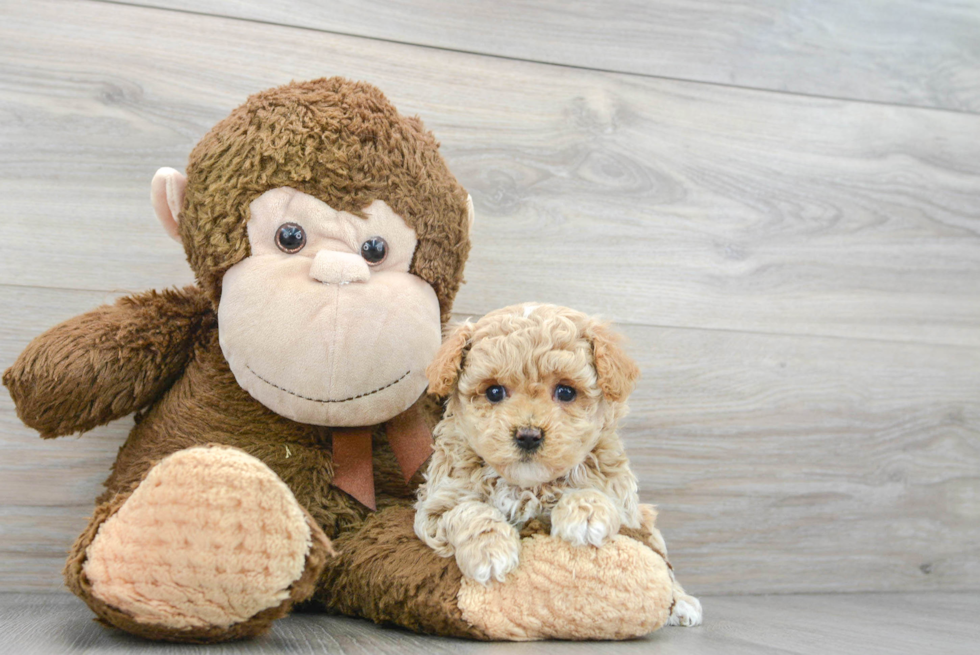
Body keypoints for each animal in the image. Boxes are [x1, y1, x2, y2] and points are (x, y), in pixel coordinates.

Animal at [418, 304, 700, 628]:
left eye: (566, 392)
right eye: (494, 392)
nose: (528, 435)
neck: (527, 485)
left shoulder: (623, 500)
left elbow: (594, 492)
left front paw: (585, 513)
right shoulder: (436, 504)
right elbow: (468, 510)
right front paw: (489, 550)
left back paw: (682, 602)